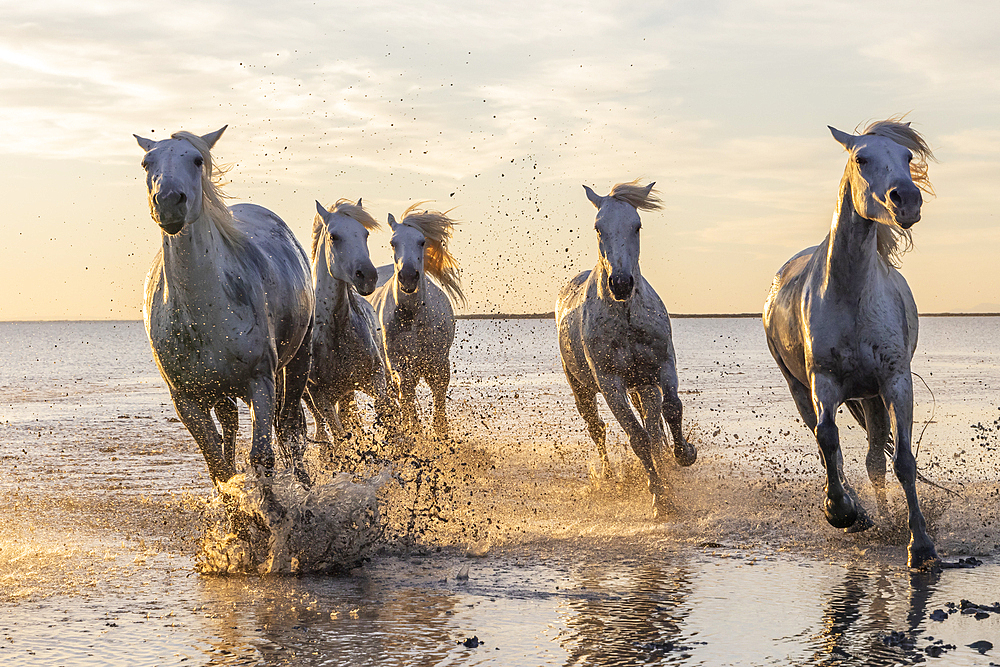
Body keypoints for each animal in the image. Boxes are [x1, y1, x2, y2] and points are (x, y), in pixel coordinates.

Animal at [134, 126, 312, 486]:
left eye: (197, 160)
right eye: (147, 162)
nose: (169, 202)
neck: (204, 311)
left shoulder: (261, 380)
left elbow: (263, 457)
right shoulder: (186, 398)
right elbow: (218, 467)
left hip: (298, 360)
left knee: (290, 429)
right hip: (216, 389)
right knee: (230, 421)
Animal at [306, 198, 400, 456]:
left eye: (365, 234)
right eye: (334, 236)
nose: (367, 276)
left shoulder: (375, 379)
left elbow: (387, 415)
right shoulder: (320, 396)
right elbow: (339, 435)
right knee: (324, 430)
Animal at [368, 206, 464, 440]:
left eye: (422, 241)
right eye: (393, 242)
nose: (409, 277)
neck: (413, 318)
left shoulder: (438, 362)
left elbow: (439, 395)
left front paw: (441, 434)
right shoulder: (398, 364)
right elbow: (407, 395)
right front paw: (416, 433)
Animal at [556, 180, 696, 520]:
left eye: (637, 225)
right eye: (598, 227)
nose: (620, 283)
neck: (626, 317)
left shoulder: (663, 367)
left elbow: (671, 411)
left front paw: (685, 453)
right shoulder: (611, 384)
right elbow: (637, 437)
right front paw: (661, 498)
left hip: (643, 385)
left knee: (654, 425)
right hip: (582, 388)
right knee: (597, 429)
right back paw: (608, 476)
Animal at [764, 118, 936, 568]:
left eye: (907, 157)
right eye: (861, 158)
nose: (907, 200)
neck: (852, 293)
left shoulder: (895, 381)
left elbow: (903, 461)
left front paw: (920, 545)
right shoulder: (823, 381)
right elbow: (828, 438)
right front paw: (842, 512)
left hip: (872, 397)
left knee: (876, 459)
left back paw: (887, 520)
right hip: (800, 388)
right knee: (827, 442)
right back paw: (857, 511)